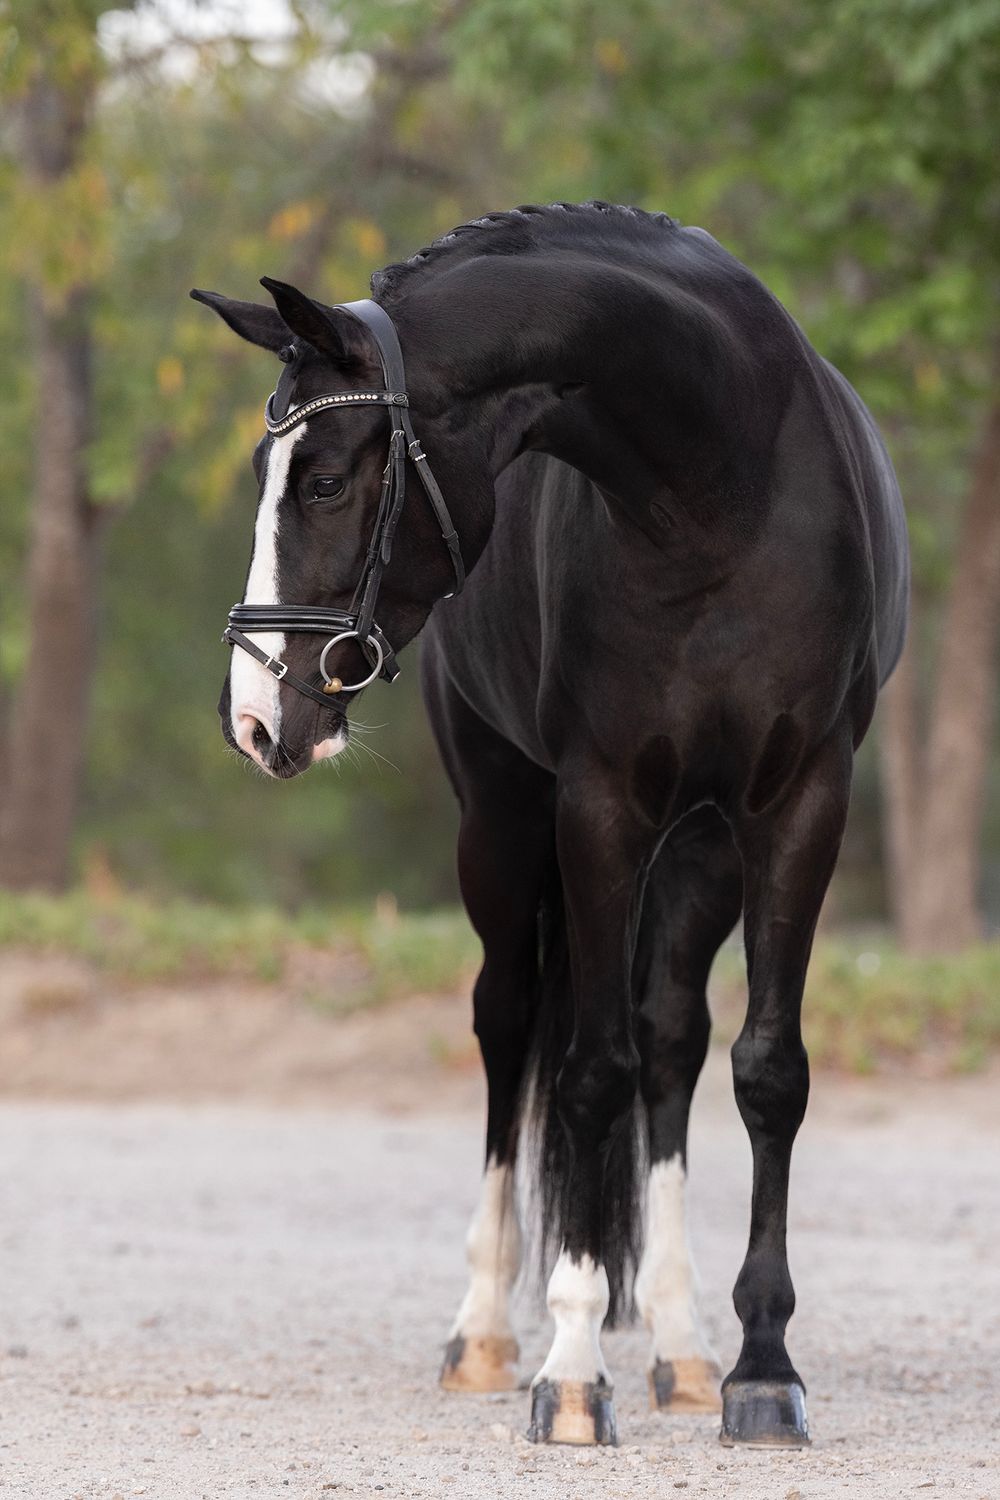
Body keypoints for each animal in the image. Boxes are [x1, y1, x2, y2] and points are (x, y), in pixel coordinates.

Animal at [192, 201, 909, 1449]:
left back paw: (679, 1346)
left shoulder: (799, 803)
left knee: (669, 1038)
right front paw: (570, 1373)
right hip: (503, 822)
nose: (255, 719)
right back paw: (485, 1332)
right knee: (510, 1023)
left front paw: (761, 1370)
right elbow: (584, 1073)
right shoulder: (596, 803)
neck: (718, 495)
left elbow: (763, 1072)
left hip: (699, 848)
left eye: (322, 480)